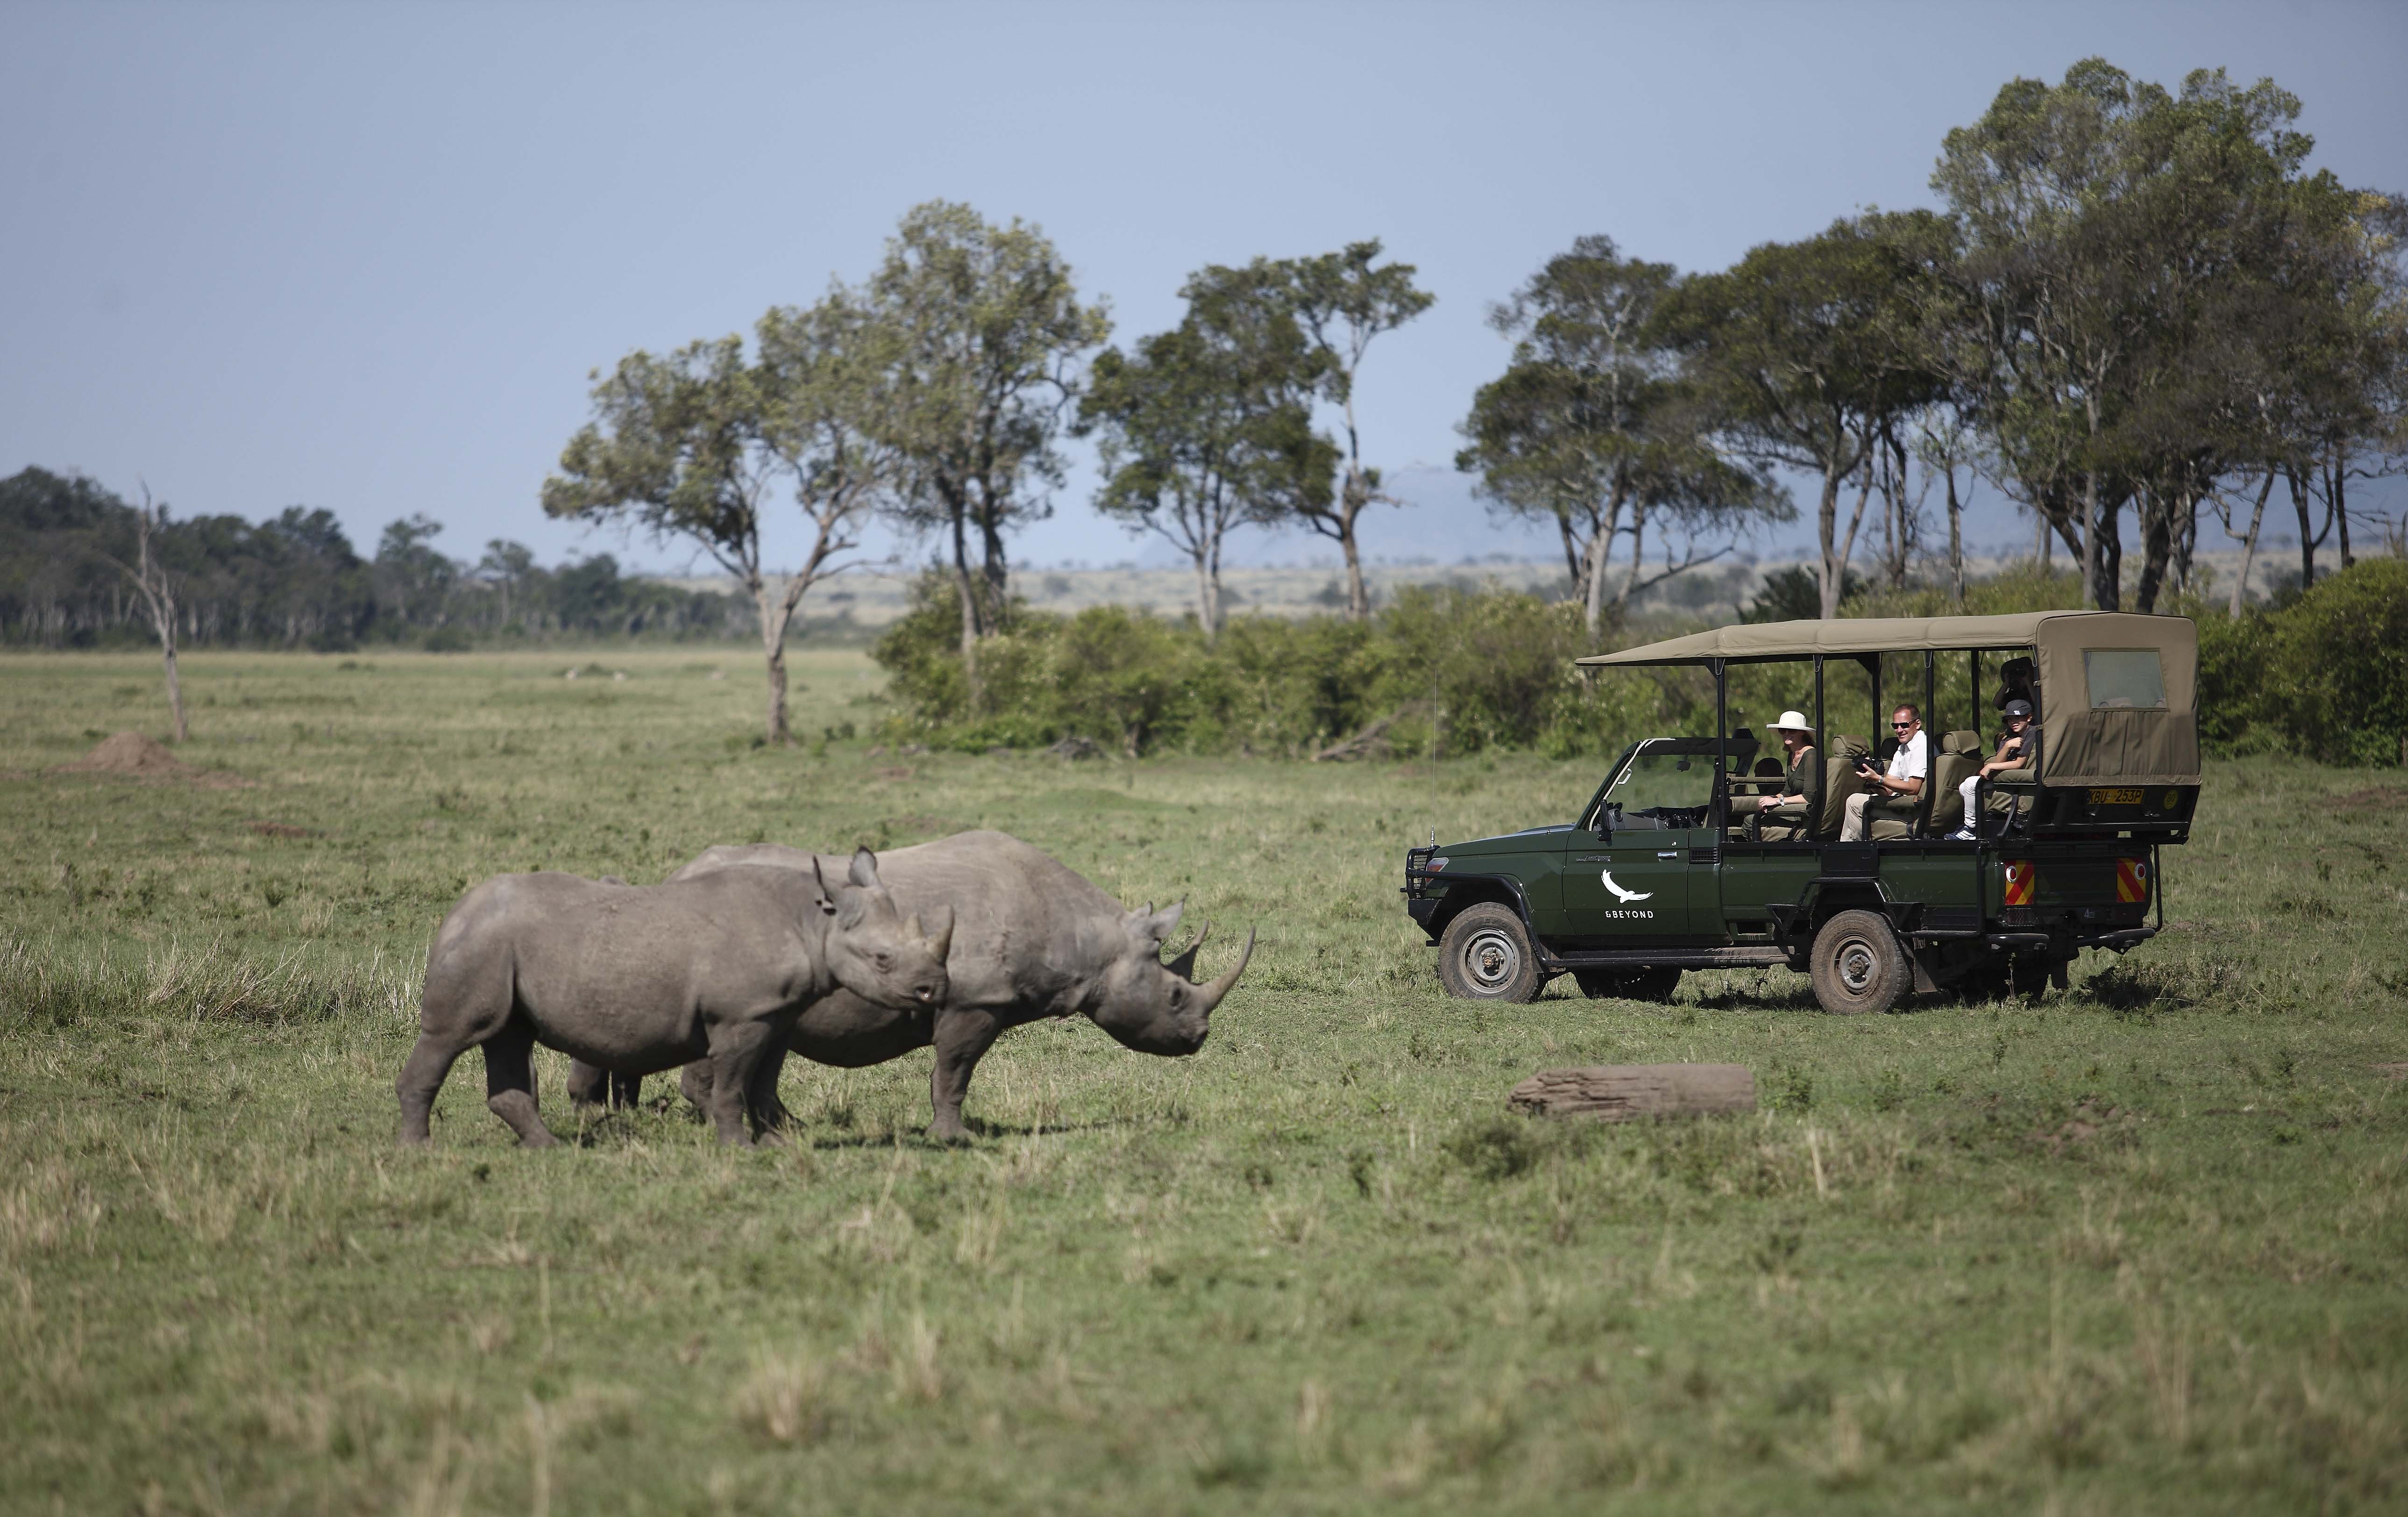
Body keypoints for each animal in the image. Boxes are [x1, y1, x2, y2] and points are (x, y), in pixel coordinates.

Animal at [397, 849, 951, 1149]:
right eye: (882, 959)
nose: (934, 989)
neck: (814, 921)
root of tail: (456, 910)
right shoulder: (739, 1017)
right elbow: (732, 1085)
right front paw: (739, 1148)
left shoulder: (776, 1015)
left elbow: (763, 1085)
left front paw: (777, 1142)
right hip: (480, 944)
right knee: (453, 1035)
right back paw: (420, 1150)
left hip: (500, 944)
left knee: (509, 1035)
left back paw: (548, 1146)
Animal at [566, 830, 1254, 1141]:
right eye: (1174, 996)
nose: (1198, 1037)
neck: (1089, 939)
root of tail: (674, 878)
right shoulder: (974, 1000)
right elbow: (954, 1071)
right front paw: (955, 1137)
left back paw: (788, 1130)